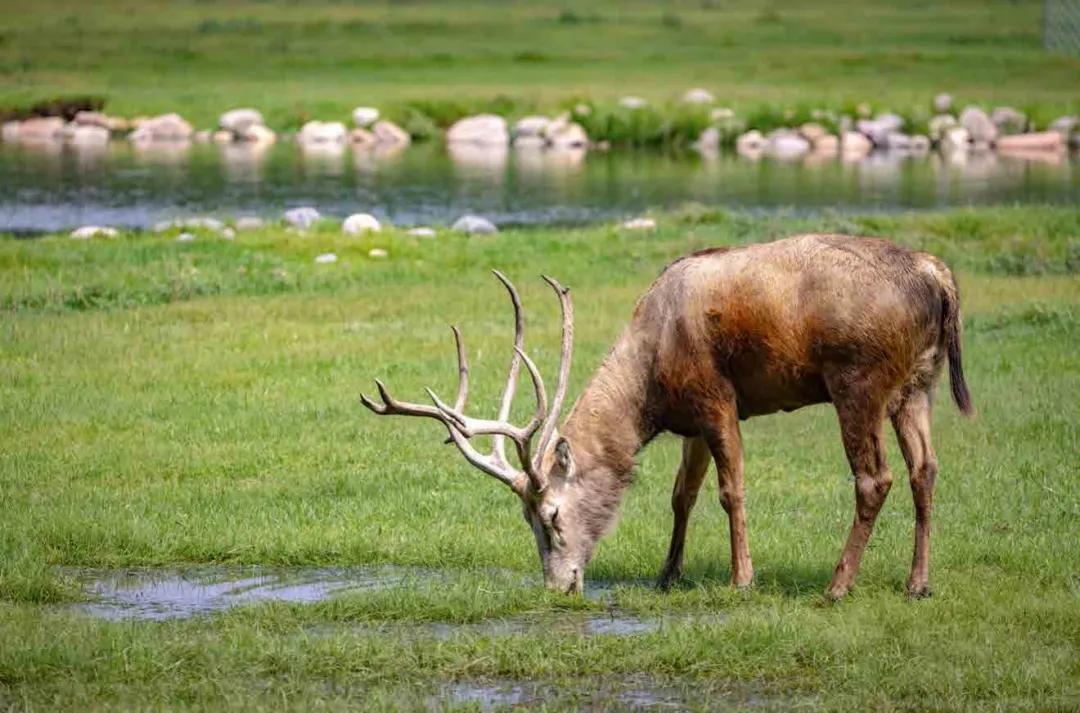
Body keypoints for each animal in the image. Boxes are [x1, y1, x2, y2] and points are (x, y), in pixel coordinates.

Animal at [361, 233, 974, 599]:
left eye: (551, 515)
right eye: (526, 519)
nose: (560, 586)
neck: (650, 386)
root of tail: (940, 278)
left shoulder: (717, 397)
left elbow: (731, 490)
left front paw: (741, 579)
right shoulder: (690, 421)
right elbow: (683, 494)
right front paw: (666, 572)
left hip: (858, 381)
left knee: (875, 478)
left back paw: (837, 585)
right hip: (918, 385)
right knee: (926, 469)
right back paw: (918, 583)